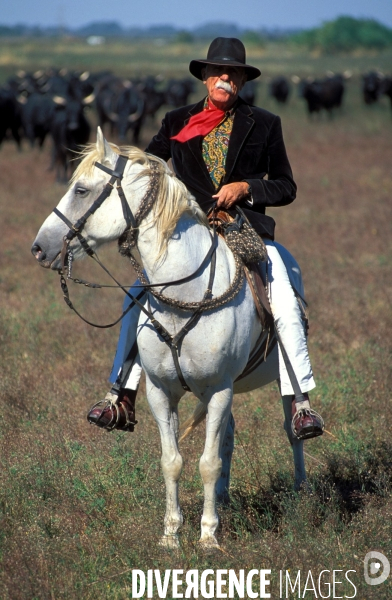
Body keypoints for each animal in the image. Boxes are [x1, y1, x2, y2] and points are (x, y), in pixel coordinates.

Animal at [32, 129, 308, 552]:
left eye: (81, 189)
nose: (39, 247)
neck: (185, 293)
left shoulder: (219, 388)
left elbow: (207, 463)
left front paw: (207, 537)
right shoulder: (162, 391)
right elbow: (173, 460)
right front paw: (171, 533)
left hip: (279, 372)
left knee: (292, 426)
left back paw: (301, 491)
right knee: (228, 436)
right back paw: (224, 500)